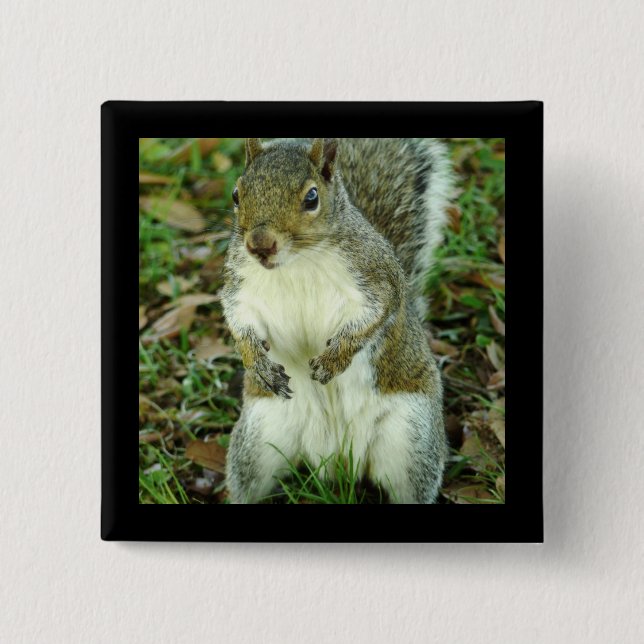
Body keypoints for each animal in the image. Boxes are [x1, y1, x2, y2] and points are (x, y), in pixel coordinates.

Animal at [221, 138, 452, 503]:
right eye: (236, 193)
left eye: (311, 198)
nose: (259, 245)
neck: (297, 261)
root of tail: (338, 458)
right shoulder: (241, 288)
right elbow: (239, 321)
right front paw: (257, 363)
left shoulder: (376, 279)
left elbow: (371, 318)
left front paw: (334, 360)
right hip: (258, 440)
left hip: (411, 438)